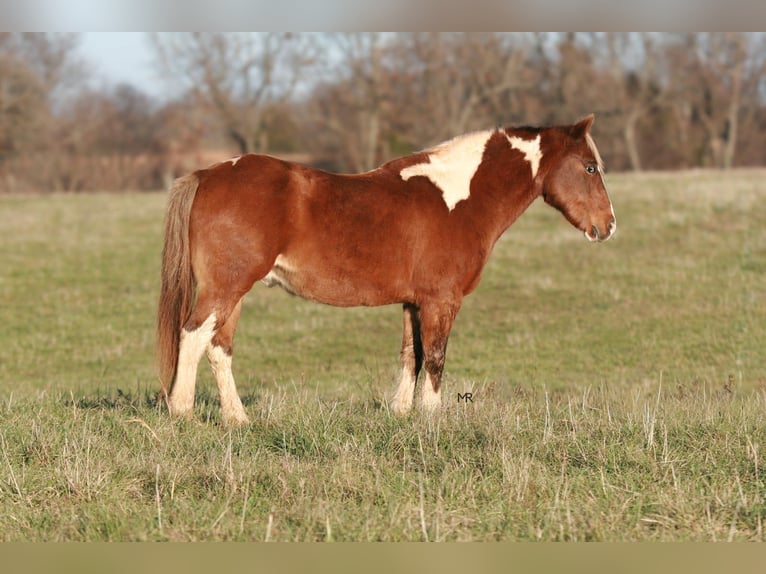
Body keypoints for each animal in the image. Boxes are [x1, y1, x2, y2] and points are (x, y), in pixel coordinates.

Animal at [157, 114, 616, 425]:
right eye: (590, 167)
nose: (608, 226)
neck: (458, 199)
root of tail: (208, 174)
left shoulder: (414, 303)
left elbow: (411, 355)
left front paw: (401, 414)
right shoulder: (440, 301)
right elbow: (436, 358)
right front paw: (431, 419)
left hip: (233, 292)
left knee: (218, 348)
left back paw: (237, 420)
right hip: (225, 289)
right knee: (193, 336)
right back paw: (182, 412)